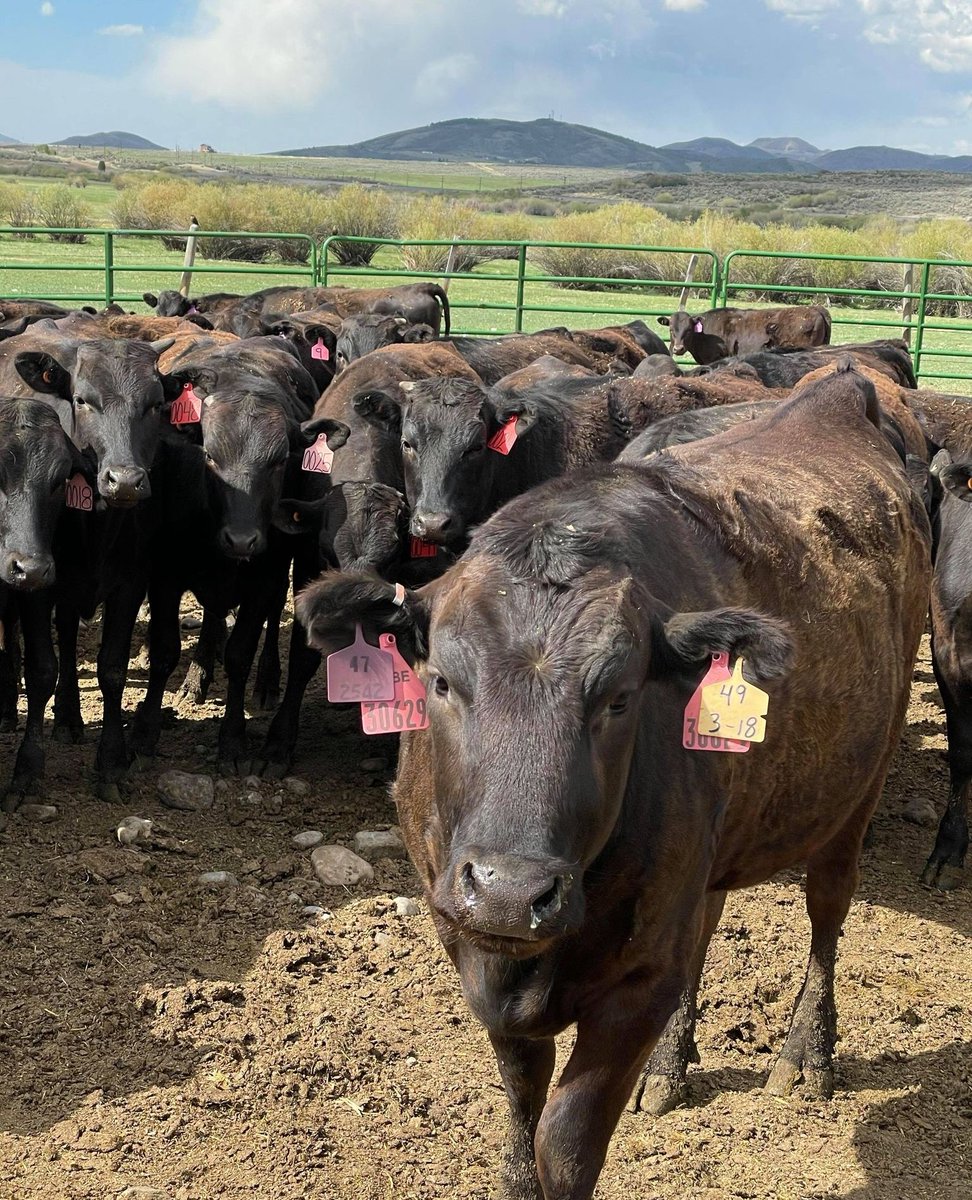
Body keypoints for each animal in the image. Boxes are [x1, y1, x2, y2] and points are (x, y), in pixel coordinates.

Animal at [294, 363, 930, 1200]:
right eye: (441, 681)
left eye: (620, 698)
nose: (510, 889)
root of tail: (841, 388)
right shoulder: (468, 939)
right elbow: (521, 1105)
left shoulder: (633, 987)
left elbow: (564, 1143)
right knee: (708, 921)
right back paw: (671, 1067)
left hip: (857, 788)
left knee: (827, 912)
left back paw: (805, 1056)